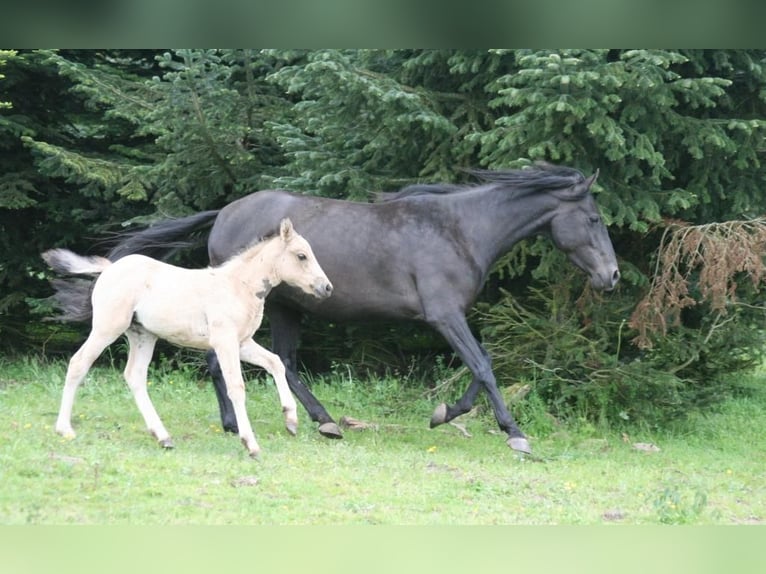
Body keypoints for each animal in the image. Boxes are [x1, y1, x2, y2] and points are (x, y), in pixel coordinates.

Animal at [44, 219, 332, 460]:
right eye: (301, 255)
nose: (326, 287)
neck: (239, 286)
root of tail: (110, 268)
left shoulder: (242, 342)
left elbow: (275, 363)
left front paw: (291, 420)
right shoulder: (225, 341)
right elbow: (237, 387)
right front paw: (250, 444)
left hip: (143, 335)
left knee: (134, 376)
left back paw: (163, 437)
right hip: (107, 327)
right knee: (79, 363)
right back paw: (64, 429)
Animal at [109, 163, 624, 454]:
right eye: (593, 218)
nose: (613, 276)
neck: (460, 230)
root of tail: (225, 213)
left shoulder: (450, 318)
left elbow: (482, 367)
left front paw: (443, 414)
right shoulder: (444, 316)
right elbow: (483, 365)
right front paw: (513, 433)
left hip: (285, 309)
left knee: (276, 363)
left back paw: (311, 423)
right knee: (238, 363)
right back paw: (274, 423)